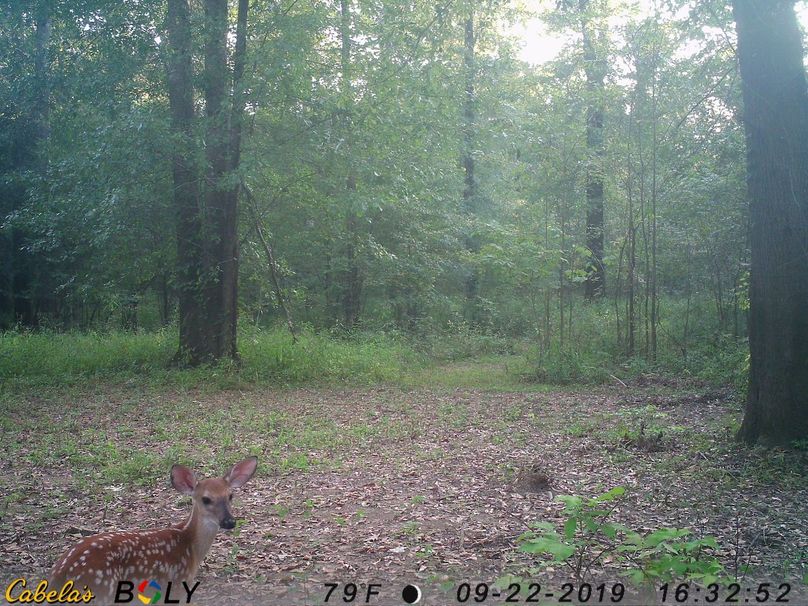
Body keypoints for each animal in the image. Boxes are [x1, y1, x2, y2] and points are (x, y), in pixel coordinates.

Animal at [48, 456, 258, 604]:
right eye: (206, 499)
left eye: (230, 495)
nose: (229, 522)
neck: (190, 547)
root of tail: (60, 573)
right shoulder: (177, 583)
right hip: (100, 590)